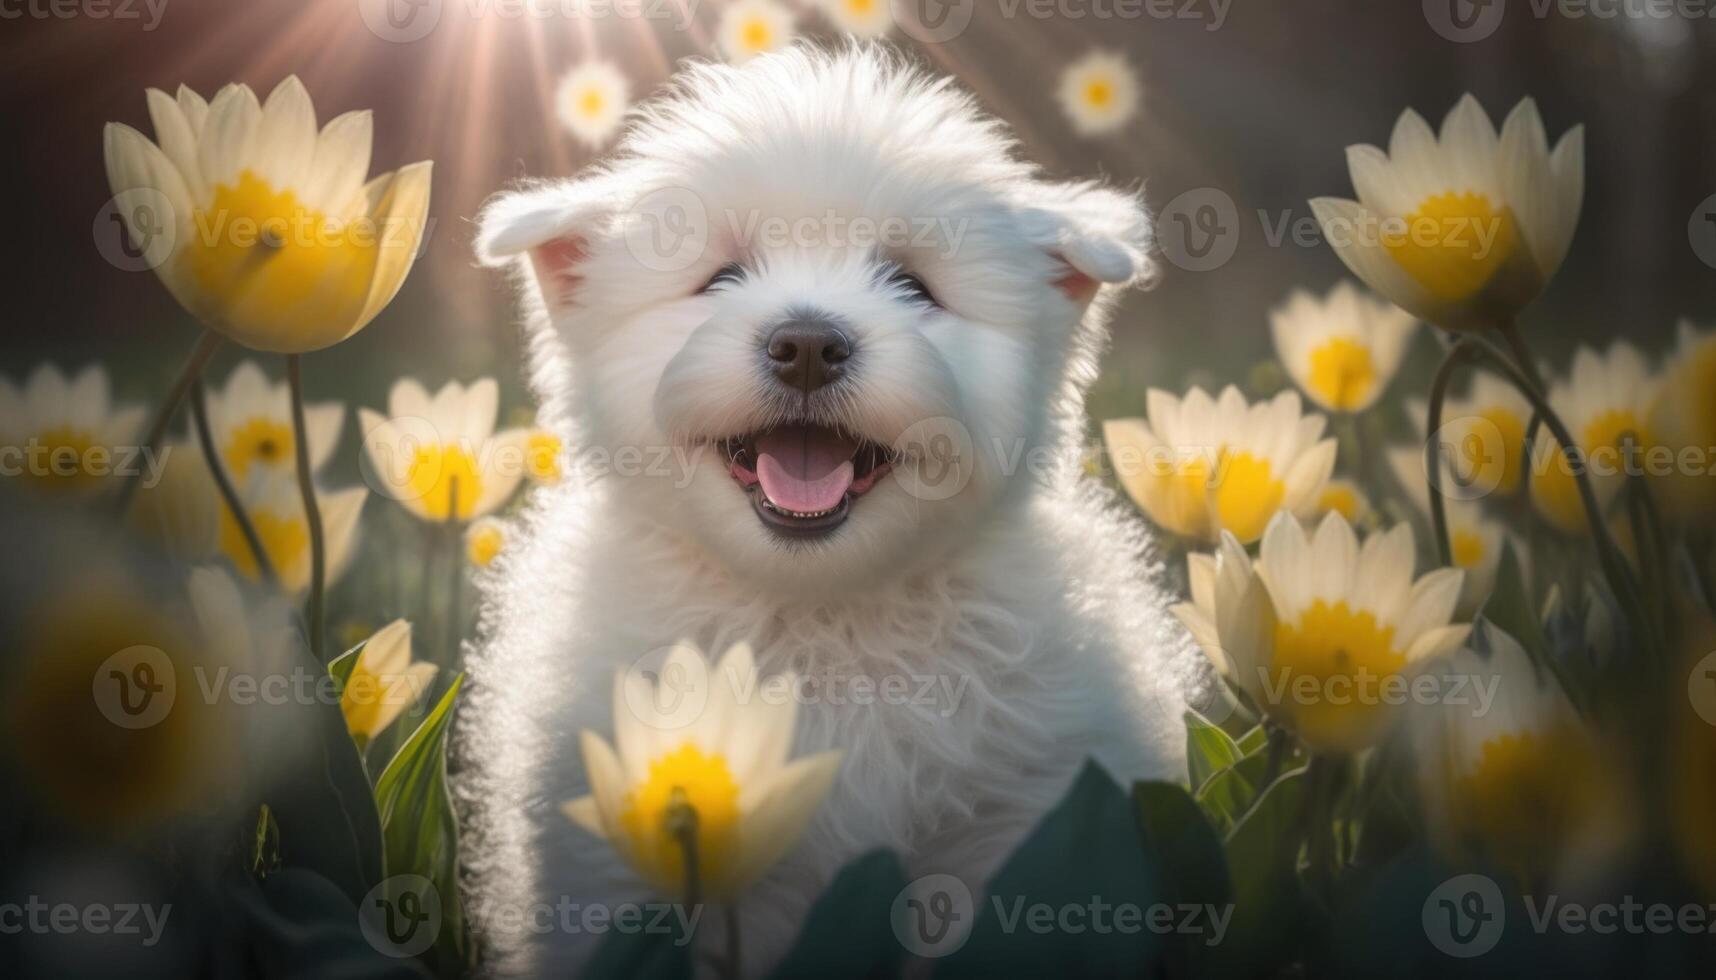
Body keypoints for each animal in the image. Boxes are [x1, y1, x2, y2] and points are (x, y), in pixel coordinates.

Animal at [463, 42, 1201, 974]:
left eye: (913, 286)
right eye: (721, 277)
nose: (808, 344)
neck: (818, 620)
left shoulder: (1033, 817)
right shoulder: (614, 851)